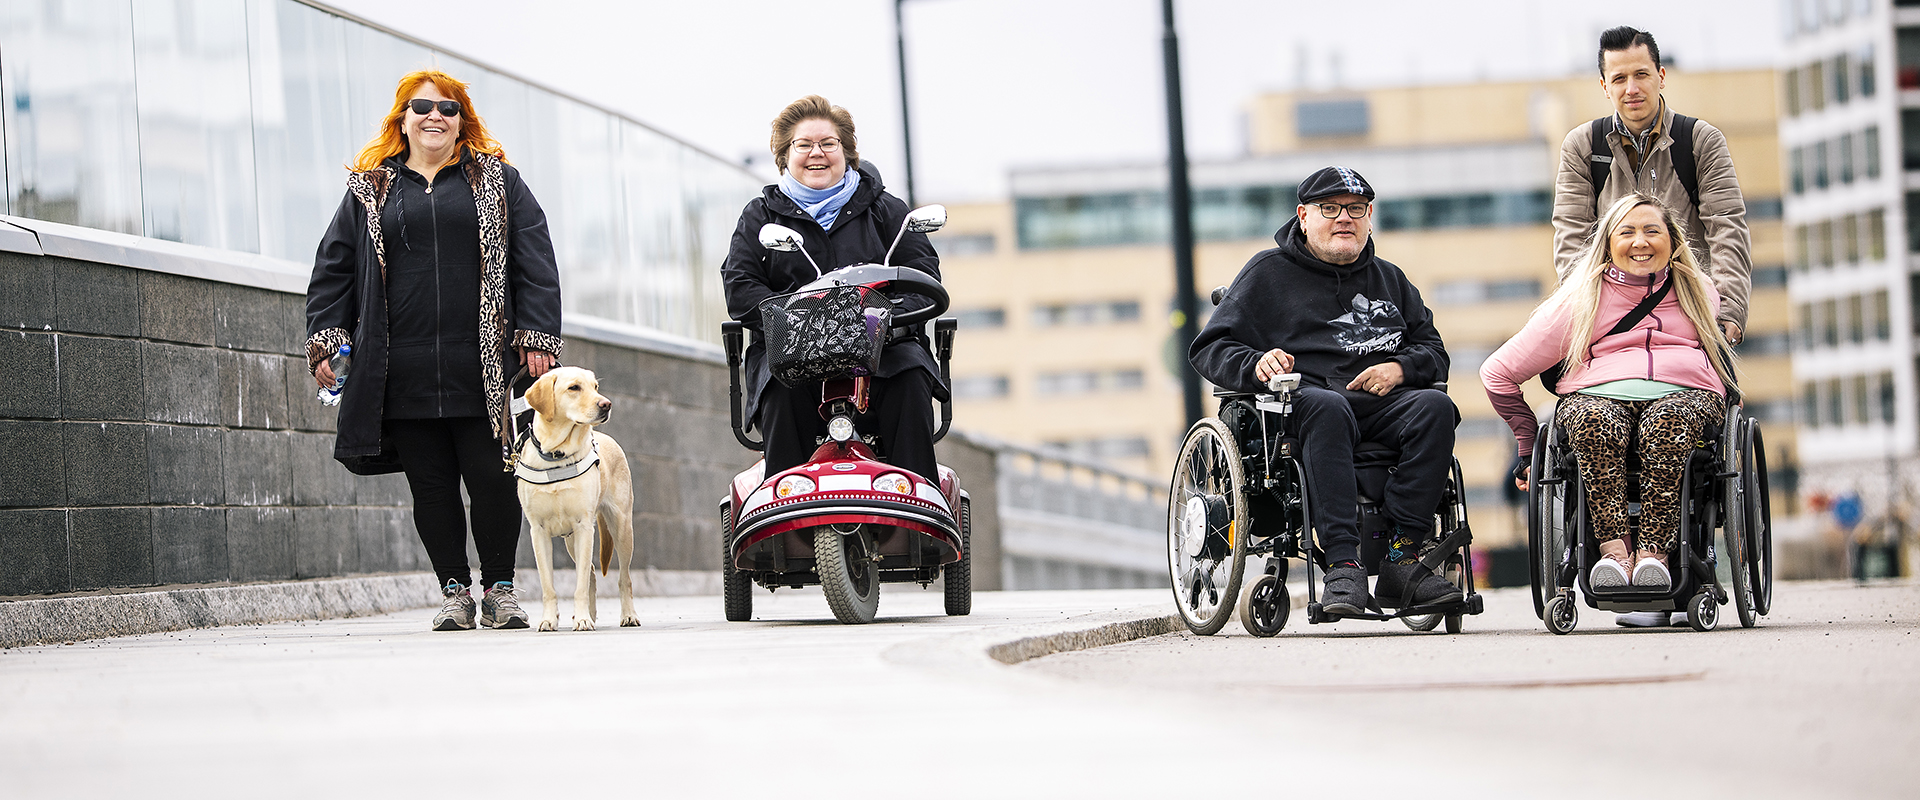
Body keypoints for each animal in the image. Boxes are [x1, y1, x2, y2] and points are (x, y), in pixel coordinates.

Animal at [514, 364, 641, 633]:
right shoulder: (538, 531)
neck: (557, 454)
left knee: (623, 577)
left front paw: (581, 618)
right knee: (591, 571)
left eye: (595, 387)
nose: (606, 404)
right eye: (574, 387)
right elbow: (549, 586)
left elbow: (580, 584)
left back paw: (627, 615)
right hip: (571, 540)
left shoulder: (584, 527)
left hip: (622, 528)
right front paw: (549, 619)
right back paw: (590, 616)